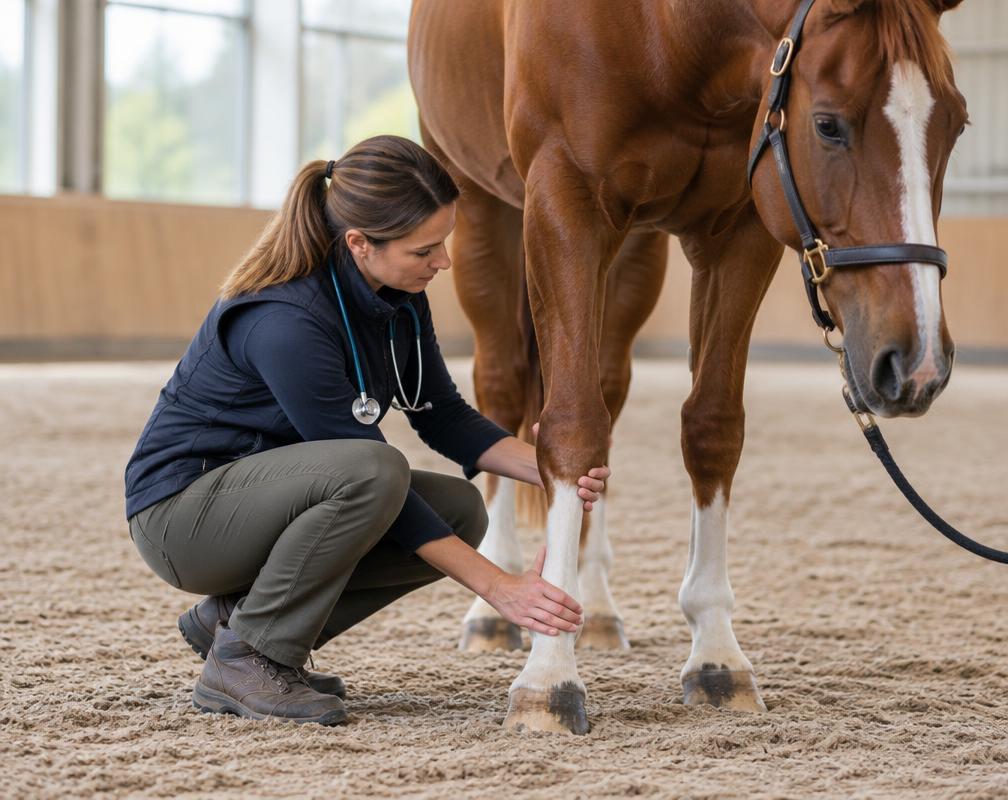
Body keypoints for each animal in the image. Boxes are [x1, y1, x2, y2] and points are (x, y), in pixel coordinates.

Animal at [408, 0, 967, 733]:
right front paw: (549, 675)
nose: (918, 363)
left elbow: (710, 428)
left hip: (634, 251)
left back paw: (594, 605)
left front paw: (716, 655)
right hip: (481, 208)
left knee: (606, 394)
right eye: (827, 124)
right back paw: (495, 606)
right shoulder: (564, 203)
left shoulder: (741, 227)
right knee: (502, 387)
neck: (668, 30)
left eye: (955, 123)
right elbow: (569, 427)